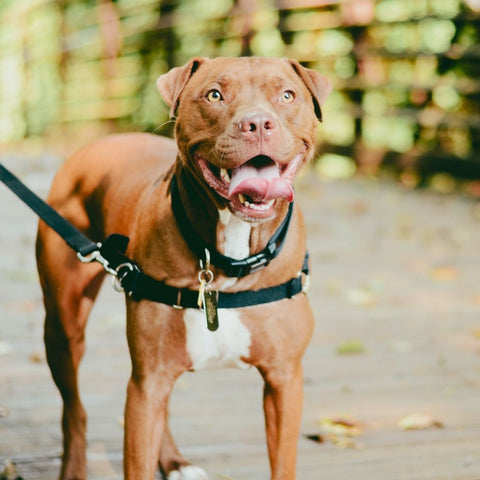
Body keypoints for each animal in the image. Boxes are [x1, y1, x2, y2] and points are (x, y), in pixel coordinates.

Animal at [36, 57, 330, 480]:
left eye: (287, 95)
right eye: (215, 95)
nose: (258, 123)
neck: (227, 260)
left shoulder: (284, 380)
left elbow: (282, 464)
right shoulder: (148, 379)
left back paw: (174, 461)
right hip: (64, 326)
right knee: (74, 409)